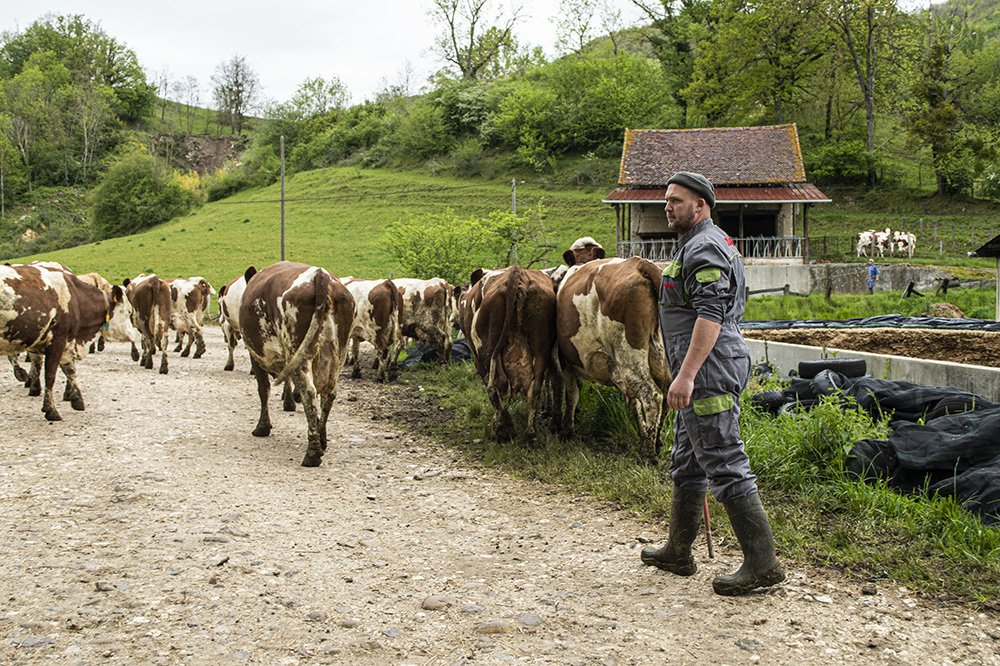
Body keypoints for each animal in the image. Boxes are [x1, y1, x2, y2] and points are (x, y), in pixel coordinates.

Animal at [0, 262, 131, 418]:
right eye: (129, 311)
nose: (133, 335)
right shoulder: (58, 339)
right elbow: (51, 375)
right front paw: (51, 409)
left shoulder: (65, 341)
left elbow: (69, 369)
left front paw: (75, 397)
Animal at [239, 260, 356, 466]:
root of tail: (321, 275)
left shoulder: (256, 355)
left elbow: (264, 389)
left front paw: (262, 427)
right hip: (336, 353)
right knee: (328, 393)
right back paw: (321, 439)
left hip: (298, 347)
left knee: (309, 391)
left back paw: (312, 453)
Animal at [458, 264, 556, 440]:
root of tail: (516, 273)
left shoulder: (477, 358)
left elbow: (491, 389)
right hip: (541, 348)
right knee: (535, 388)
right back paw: (531, 434)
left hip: (488, 350)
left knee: (500, 383)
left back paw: (503, 429)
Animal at [556, 254, 672, 462]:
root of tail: (640, 263)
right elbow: (634, 404)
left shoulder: (567, 361)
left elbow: (572, 395)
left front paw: (567, 430)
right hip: (662, 359)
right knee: (666, 397)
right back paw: (657, 442)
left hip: (629, 357)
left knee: (652, 396)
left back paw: (647, 454)